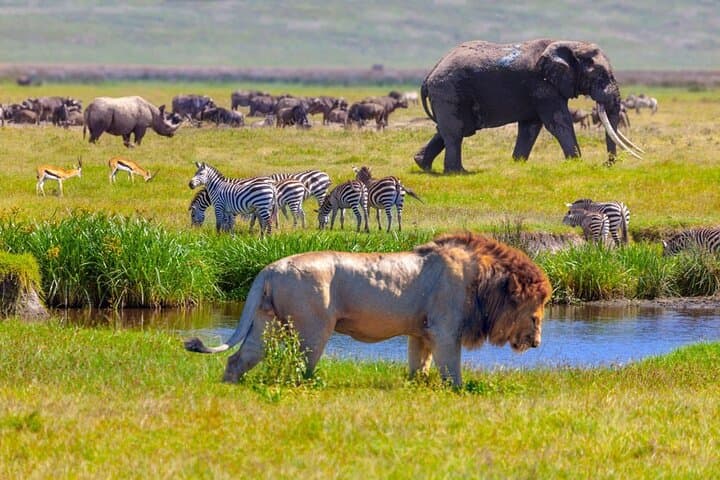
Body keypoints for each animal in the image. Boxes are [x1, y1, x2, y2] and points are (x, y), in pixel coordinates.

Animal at [414, 39, 643, 173]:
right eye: (601, 75)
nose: (607, 164)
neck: (569, 45)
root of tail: (428, 75)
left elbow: (531, 127)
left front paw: (517, 164)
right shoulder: (542, 85)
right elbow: (558, 122)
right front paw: (576, 163)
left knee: (450, 130)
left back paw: (422, 165)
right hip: (448, 90)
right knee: (455, 132)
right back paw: (458, 173)